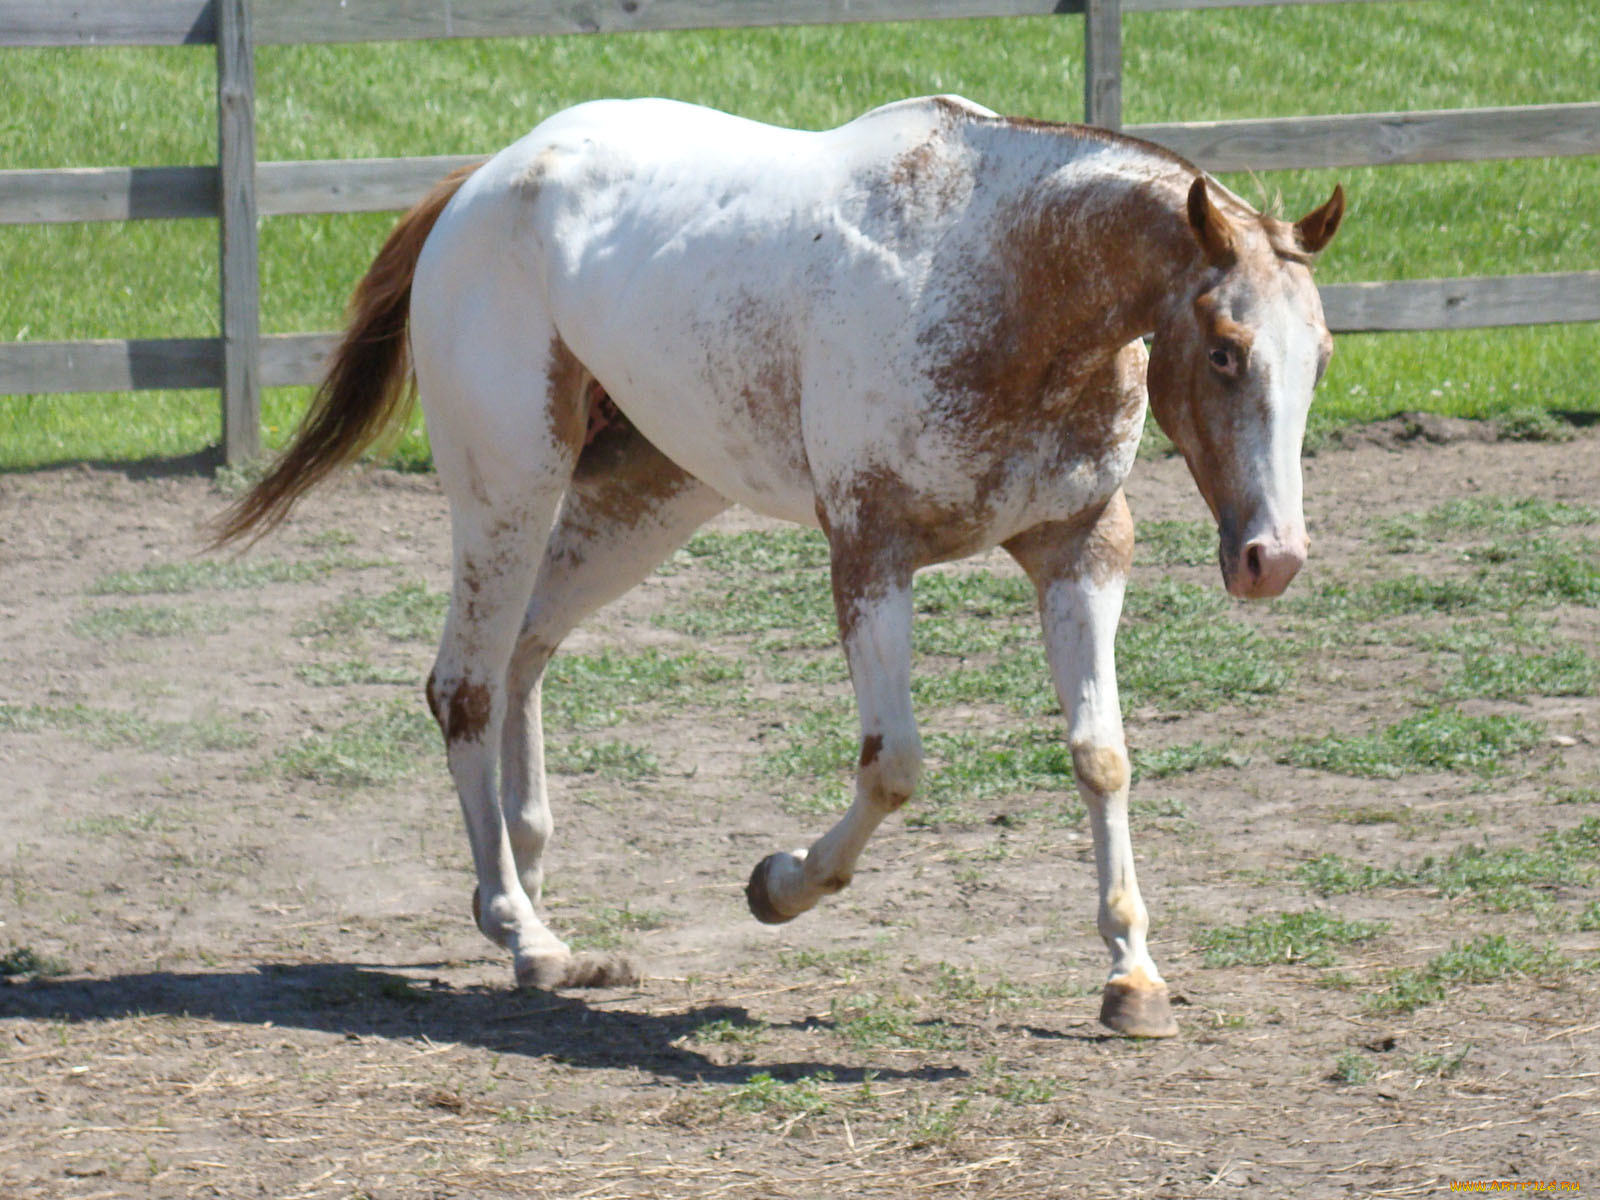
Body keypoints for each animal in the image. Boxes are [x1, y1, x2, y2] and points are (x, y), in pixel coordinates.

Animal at [212, 96, 1337, 1043]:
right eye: (1226, 348)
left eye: (1321, 352)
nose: (1270, 558)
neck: (1002, 278)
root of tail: (481, 182)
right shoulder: (869, 553)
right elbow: (893, 766)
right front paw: (777, 885)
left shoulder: (1079, 547)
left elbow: (1100, 755)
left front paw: (1132, 977)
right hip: (509, 487)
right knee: (465, 686)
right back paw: (523, 934)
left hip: (647, 497)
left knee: (527, 648)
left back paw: (528, 886)